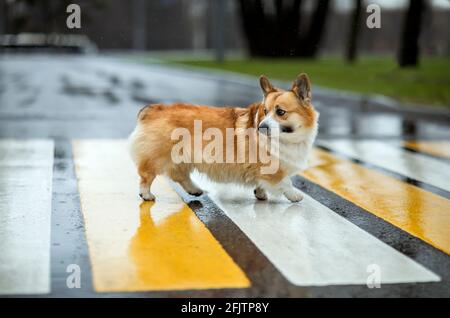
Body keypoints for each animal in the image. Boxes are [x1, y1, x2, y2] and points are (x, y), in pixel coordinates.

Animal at [129, 73, 320, 202]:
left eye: (280, 112)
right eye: (265, 111)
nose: (261, 127)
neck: (287, 138)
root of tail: (152, 109)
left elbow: (262, 184)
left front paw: (260, 193)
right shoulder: (274, 169)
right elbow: (286, 182)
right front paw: (295, 196)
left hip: (182, 158)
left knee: (180, 176)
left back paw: (195, 190)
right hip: (158, 157)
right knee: (146, 176)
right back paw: (146, 195)